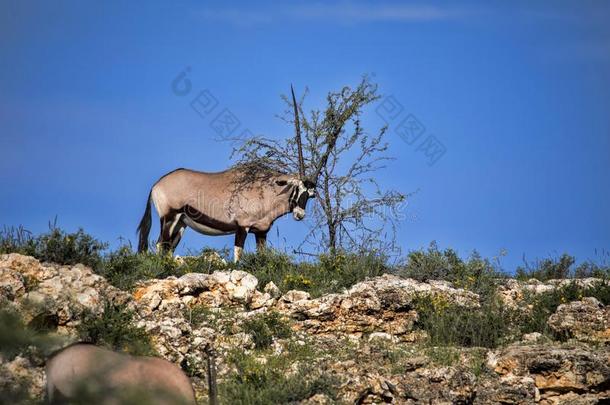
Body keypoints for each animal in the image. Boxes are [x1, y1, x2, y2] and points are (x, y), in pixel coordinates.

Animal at [137, 86, 332, 260]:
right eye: (297, 188)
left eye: (311, 194)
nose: (300, 215)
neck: (268, 189)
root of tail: (156, 185)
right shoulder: (242, 226)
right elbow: (238, 256)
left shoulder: (261, 231)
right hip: (169, 217)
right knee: (160, 244)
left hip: (181, 223)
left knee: (168, 248)